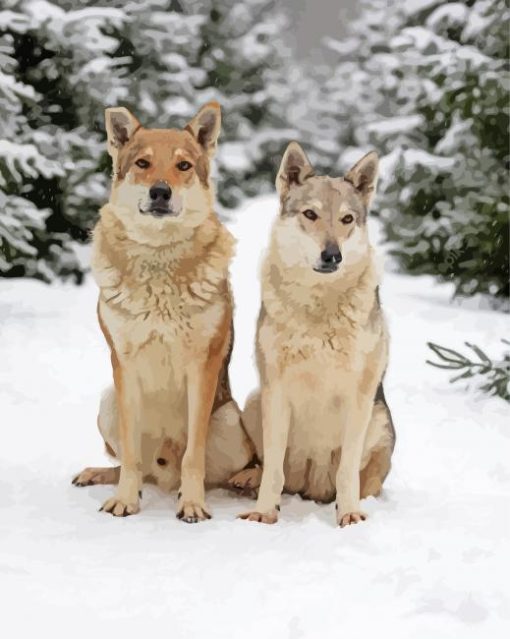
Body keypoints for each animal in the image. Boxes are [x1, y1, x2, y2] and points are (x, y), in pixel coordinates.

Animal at [70, 104, 254, 520]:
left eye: (183, 166)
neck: (158, 261)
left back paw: (244, 480)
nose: (160, 191)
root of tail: (163, 477)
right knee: (135, 466)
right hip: (108, 401)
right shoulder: (123, 365)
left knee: (241, 466)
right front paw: (124, 500)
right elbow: (131, 458)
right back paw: (98, 475)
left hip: (229, 419)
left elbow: (193, 458)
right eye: (143, 163)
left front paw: (193, 505)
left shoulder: (202, 366)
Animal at [233, 142, 396, 528]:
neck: (318, 308)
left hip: (379, 418)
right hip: (256, 400)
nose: (332, 255)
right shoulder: (276, 392)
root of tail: (311, 487)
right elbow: (273, 470)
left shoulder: (359, 397)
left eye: (347, 220)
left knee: (361, 480)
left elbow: (348, 473)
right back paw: (247, 478)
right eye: (310, 214)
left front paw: (349, 514)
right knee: (266, 465)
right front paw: (264, 513)